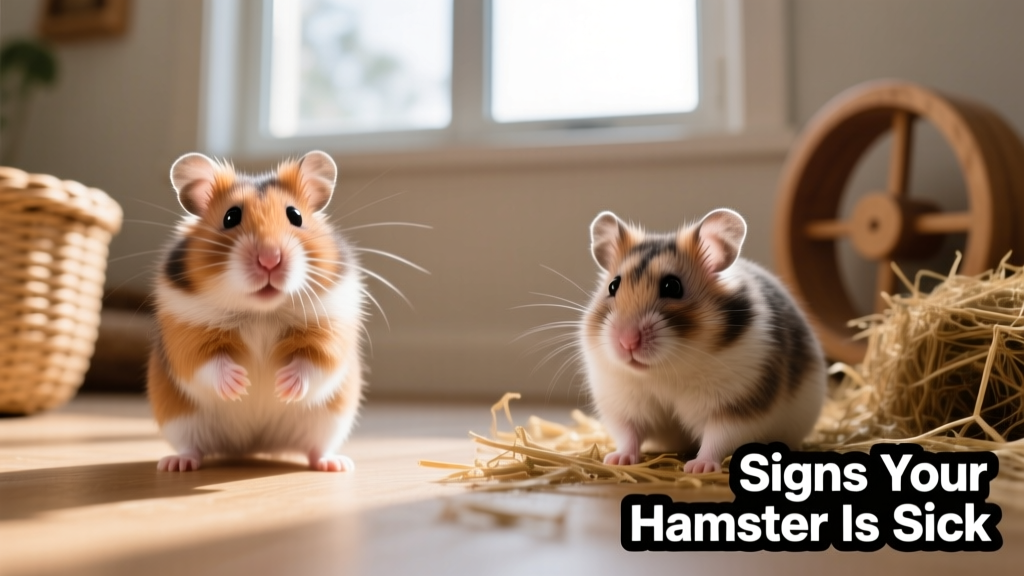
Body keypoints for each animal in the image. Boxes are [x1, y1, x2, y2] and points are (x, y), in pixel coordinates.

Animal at [148, 150, 366, 472]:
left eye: (295, 215)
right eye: (230, 216)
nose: (270, 259)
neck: (262, 312)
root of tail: (251, 445)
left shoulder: (330, 329)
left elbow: (314, 361)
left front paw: (282, 386)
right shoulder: (186, 333)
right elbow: (207, 363)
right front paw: (241, 385)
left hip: (330, 421)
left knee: (317, 448)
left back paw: (335, 464)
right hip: (180, 420)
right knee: (192, 446)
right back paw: (176, 464)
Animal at [580, 209, 826, 474]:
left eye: (672, 286)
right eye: (613, 286)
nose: (627, 342)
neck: (667, 370)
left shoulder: (736, 405)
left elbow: (717, 437)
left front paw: (699, 468)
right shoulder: (622, 404)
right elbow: (628, 434)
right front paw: (617, 461)